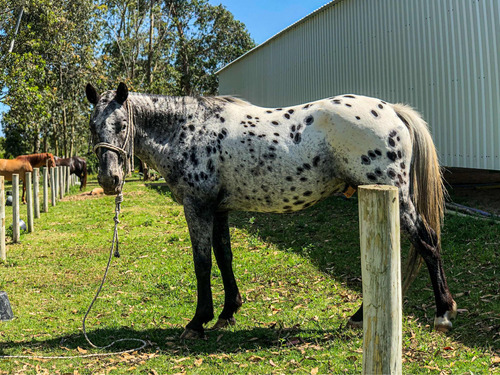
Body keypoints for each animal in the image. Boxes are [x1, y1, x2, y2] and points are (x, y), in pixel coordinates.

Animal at [86, 83, 458, 340]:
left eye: (121, 125)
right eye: (92, 125)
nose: (109, 180)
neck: (188, 129)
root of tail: (392, 110)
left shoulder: (198, 207)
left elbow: (202, 262)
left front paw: (198, 321)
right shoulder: (219, 209)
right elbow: (224, 256)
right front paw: (228, 312)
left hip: (396, 196)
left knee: (427, 243)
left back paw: (442, 313)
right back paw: (360, 316)